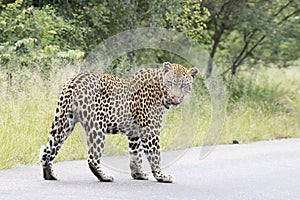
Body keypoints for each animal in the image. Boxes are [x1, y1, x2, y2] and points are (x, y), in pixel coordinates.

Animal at [40, 62, 199, 183]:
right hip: (97, 126)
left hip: (64, 122)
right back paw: (105, 177)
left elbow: (135, 154)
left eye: (184, 85)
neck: (161, 93)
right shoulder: (150, 131)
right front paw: (162, 176)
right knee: (92, 158)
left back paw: (50, 175)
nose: (175, 98)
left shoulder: (135, 133)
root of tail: (75, 80)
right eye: (170, 83)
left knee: (47, 150)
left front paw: (138, 174)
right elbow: (155, 156)